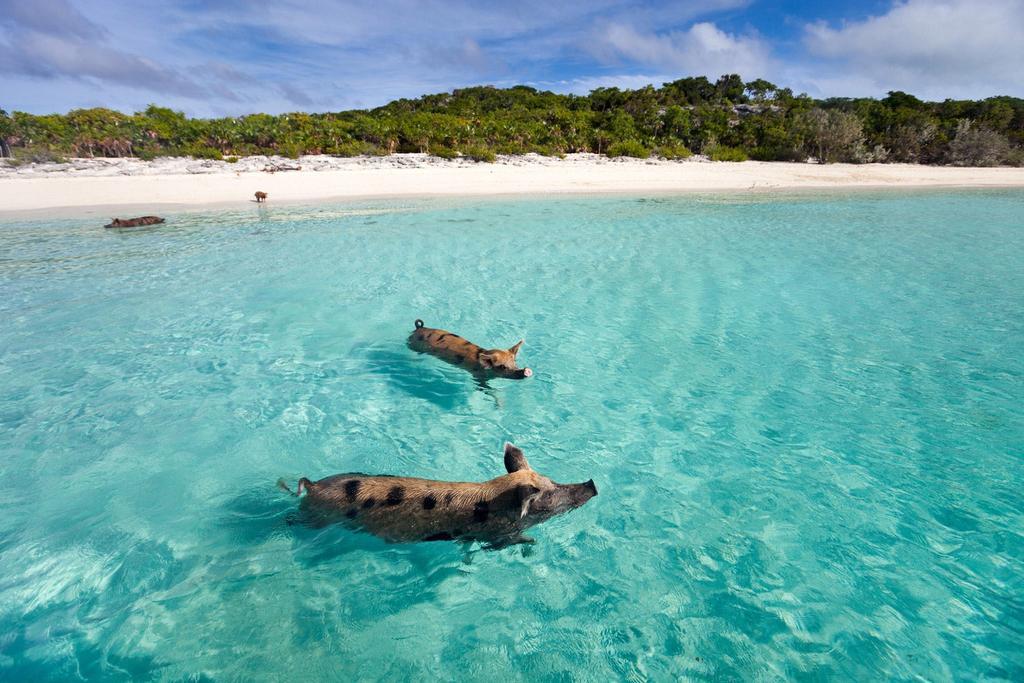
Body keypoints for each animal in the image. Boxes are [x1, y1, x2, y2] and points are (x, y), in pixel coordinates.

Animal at [278, 443, 596, 548]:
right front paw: (532, 542)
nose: (592, 484)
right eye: (549, 495)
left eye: (552, 480)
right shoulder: (496, 534)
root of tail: (313, 485)